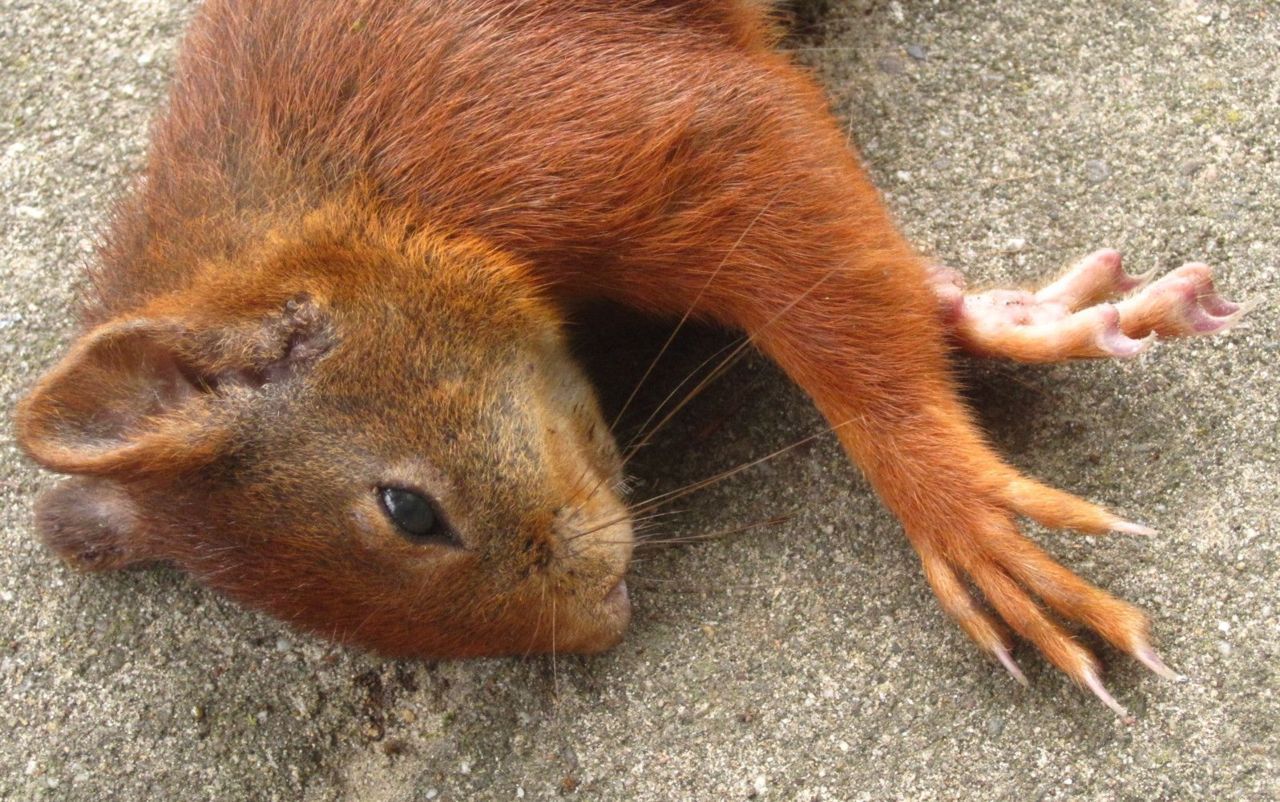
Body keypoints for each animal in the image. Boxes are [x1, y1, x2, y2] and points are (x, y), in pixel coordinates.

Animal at [15, 0, 1244, 716]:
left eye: (408, 510)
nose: (602, 622)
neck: (341, 185)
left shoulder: (574, 113)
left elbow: (826, 272)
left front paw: (958, 508)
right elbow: (900, 291)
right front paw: (1018, 320)